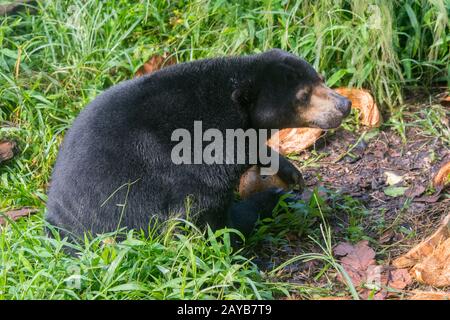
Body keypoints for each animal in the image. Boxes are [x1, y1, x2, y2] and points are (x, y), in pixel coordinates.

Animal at [47, 49, 354, 240]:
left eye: (321, 79)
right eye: (303, 96)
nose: (345, 104)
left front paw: (288, 172)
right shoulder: (194, 167)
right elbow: (202, 222)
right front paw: (274, 198)